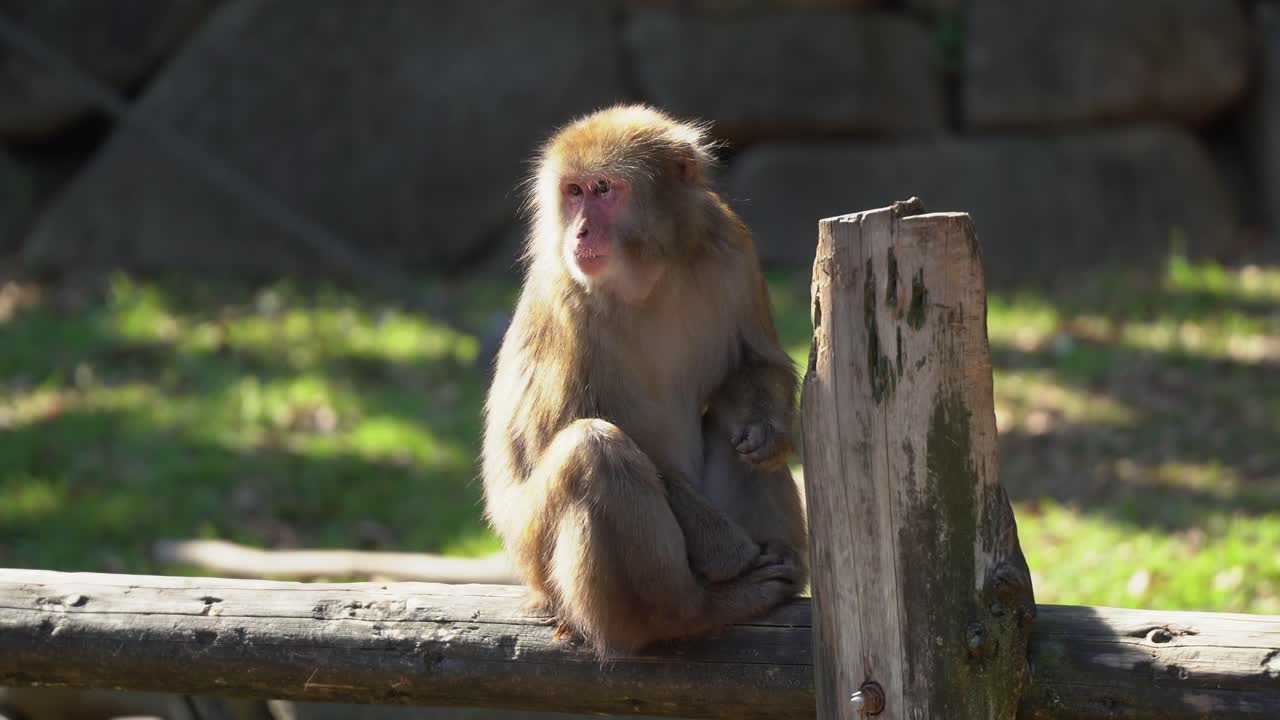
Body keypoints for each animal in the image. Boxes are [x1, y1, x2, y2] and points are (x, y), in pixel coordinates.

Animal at [481, 104, 807, 656]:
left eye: (603, 189)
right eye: (574, 192)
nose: (580, 233)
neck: (651, 275)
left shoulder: (733, 246)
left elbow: (757, 366)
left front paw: (769, 431)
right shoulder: (567, 297)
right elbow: (558, 436)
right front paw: (729, 553)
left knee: (728, 424)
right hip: (536, 553)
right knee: (593, 450)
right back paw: (691, 611)